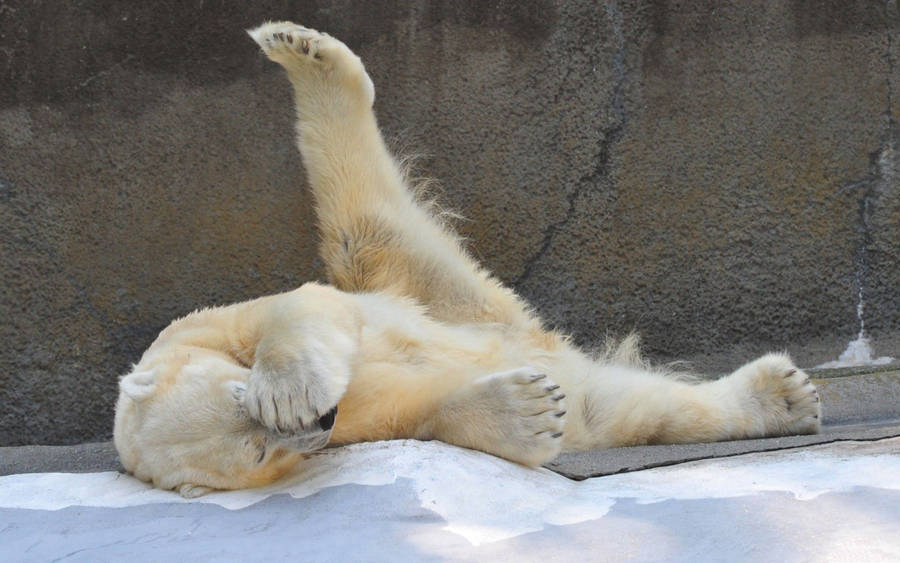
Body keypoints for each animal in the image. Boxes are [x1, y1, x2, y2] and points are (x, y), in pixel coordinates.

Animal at [113, 21, 821, 498]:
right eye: (258, 455)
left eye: (245, 401)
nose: (319, 418)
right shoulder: (351, 428)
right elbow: (411, 403)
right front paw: (527, 412)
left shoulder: (206, 322)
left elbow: (301, 307)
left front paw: (288, 388)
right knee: (620, 407)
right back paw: (777, 398)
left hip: (421, 284)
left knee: (362, 222)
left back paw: (303, 52)